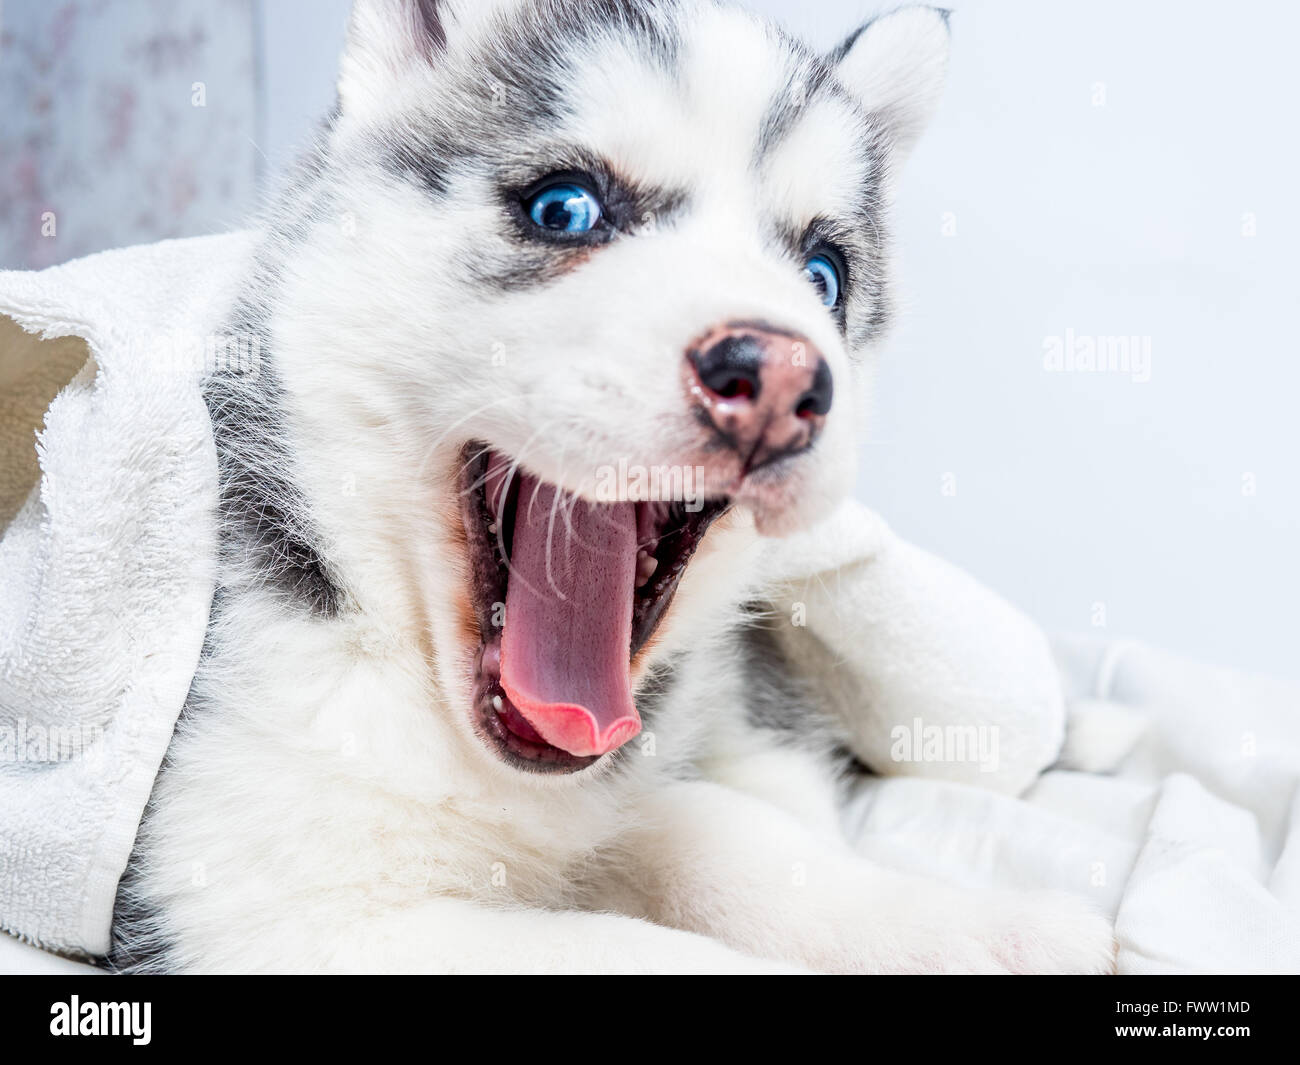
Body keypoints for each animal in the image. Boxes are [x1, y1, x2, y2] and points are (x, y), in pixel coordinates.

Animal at [109, 0, 1118, 972]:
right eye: (565, 209)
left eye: (824, 276)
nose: (780, 382)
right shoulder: (264, 913)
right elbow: (648, 948)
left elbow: (726, 832)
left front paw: (980, 924)